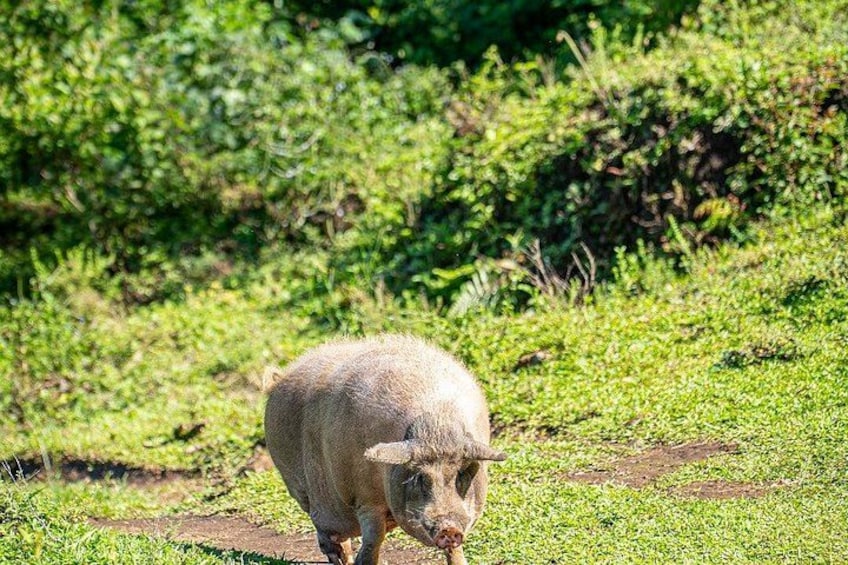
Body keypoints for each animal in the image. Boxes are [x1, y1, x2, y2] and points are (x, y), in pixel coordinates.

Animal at [264, 334, 506, 565]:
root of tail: (278, 379)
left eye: (461, 474)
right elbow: (373, 538)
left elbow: (455, 551)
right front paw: (363, 561)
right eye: (419, 477)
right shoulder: (365, 497)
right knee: (324, 532)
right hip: (297, 484)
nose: (449, 529)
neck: (436, 426)